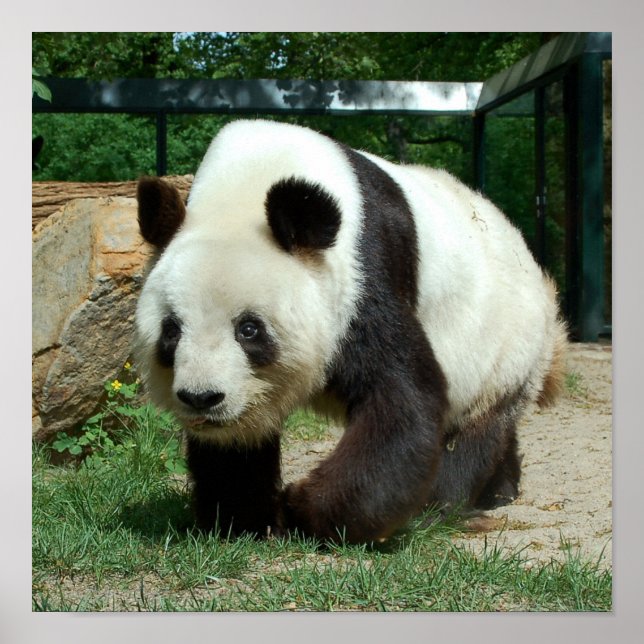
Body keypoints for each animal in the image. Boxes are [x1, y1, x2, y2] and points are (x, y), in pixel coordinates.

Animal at [134, 119, 567, 543]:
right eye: (171, 330)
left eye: (249, 330)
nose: (202, 398)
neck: (247, 182)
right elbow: (236, 444)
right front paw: (245, 521)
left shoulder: (362, 274)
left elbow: (402, 398)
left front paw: (306, 508)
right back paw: (500, 489)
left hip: (505, 340)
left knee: (476, 428)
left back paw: (441, 503)